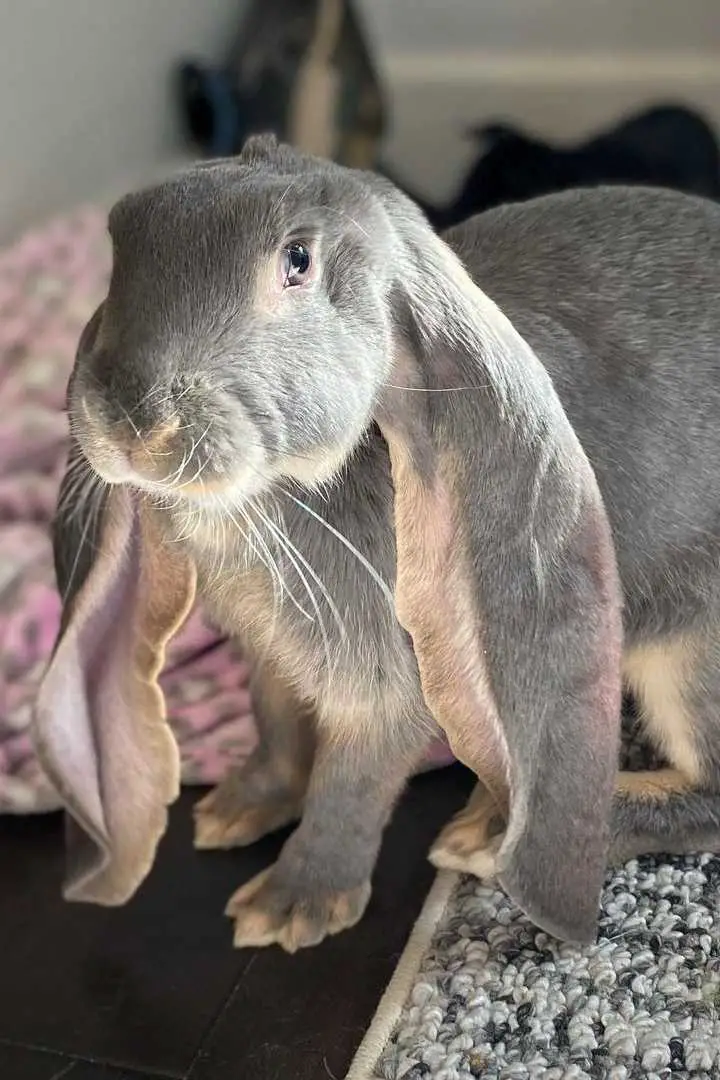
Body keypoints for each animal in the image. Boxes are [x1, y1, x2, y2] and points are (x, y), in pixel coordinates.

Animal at [33, 132, 720, 954]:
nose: (131, 424)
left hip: (690, 653)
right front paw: (236, 808)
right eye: (122, 234)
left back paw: (490, 833)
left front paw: (290, 907)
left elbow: (350, 785)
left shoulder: (390, 681)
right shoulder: (270, 656)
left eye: (297, 260)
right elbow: (276, 728)